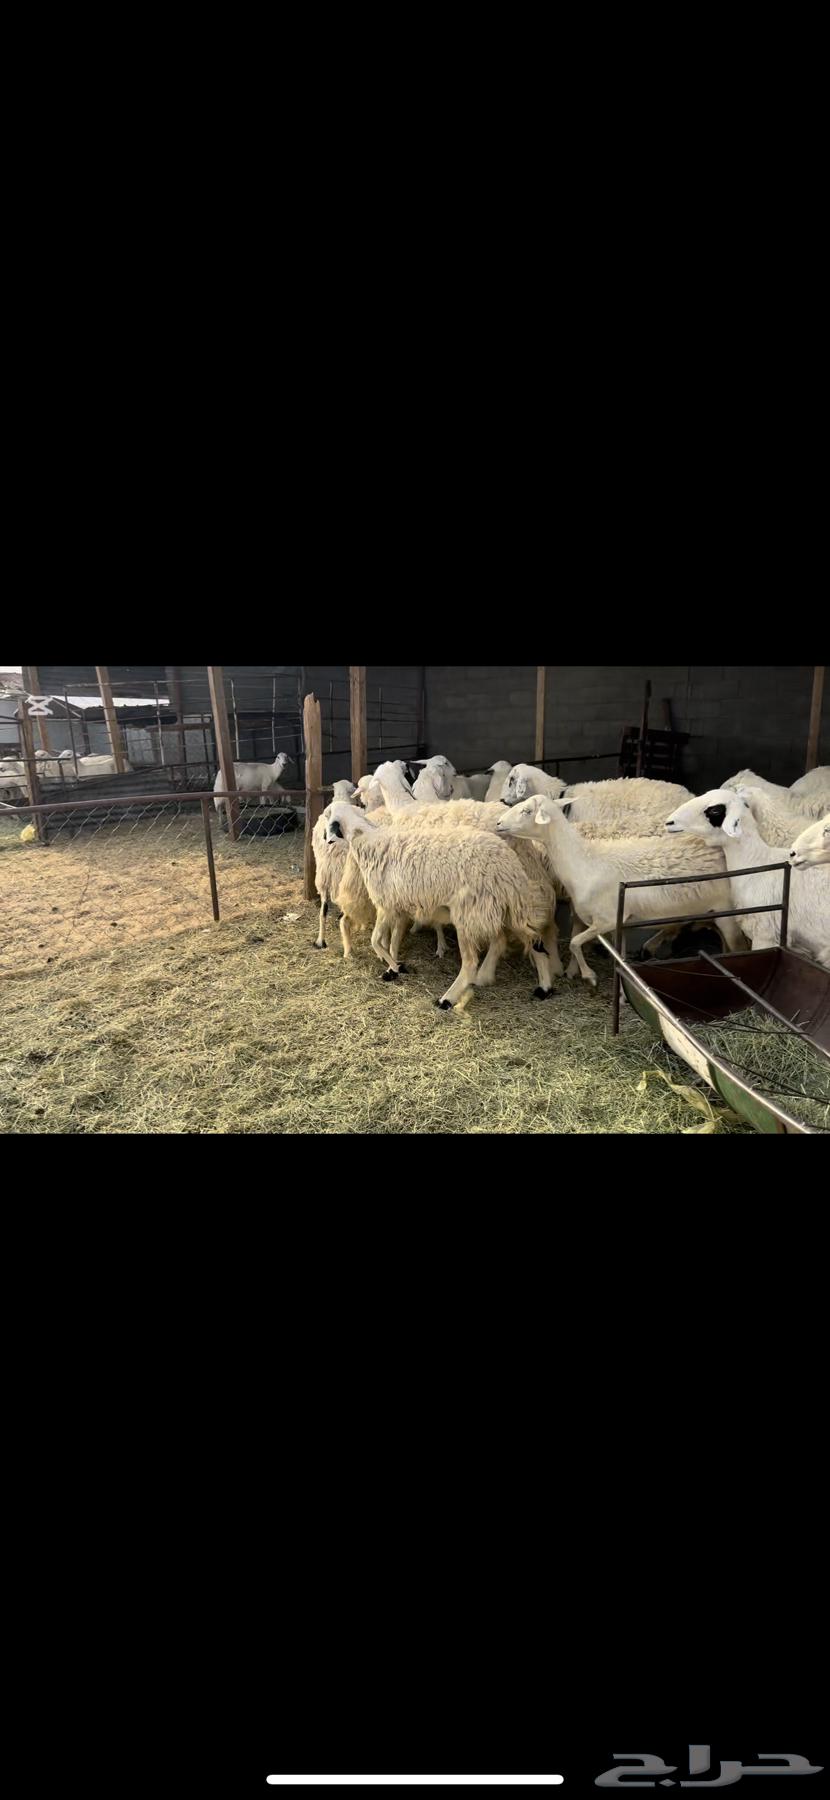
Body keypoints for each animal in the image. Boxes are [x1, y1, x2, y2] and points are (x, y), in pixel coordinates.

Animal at [324, 803, 558, 1006]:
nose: (326, 840)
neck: (366, 840)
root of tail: (510, 869)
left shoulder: (386, 905)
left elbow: (376, 941)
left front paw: (396, 966)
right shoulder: (398, 906)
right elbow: (392, 940)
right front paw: (394, 967)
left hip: (470, 913)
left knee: (471, 962)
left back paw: (447, 999)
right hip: (502, 909)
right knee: (530, 940)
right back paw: (544, 987)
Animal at [496, 795, 744, 987]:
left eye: (527, 811)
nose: (498, 823)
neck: (584, 861)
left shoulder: (605, 920)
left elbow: (574, 942)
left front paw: (590, 977)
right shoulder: (621, 922)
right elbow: (620, 959)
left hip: (728, 913)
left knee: (737, 946)